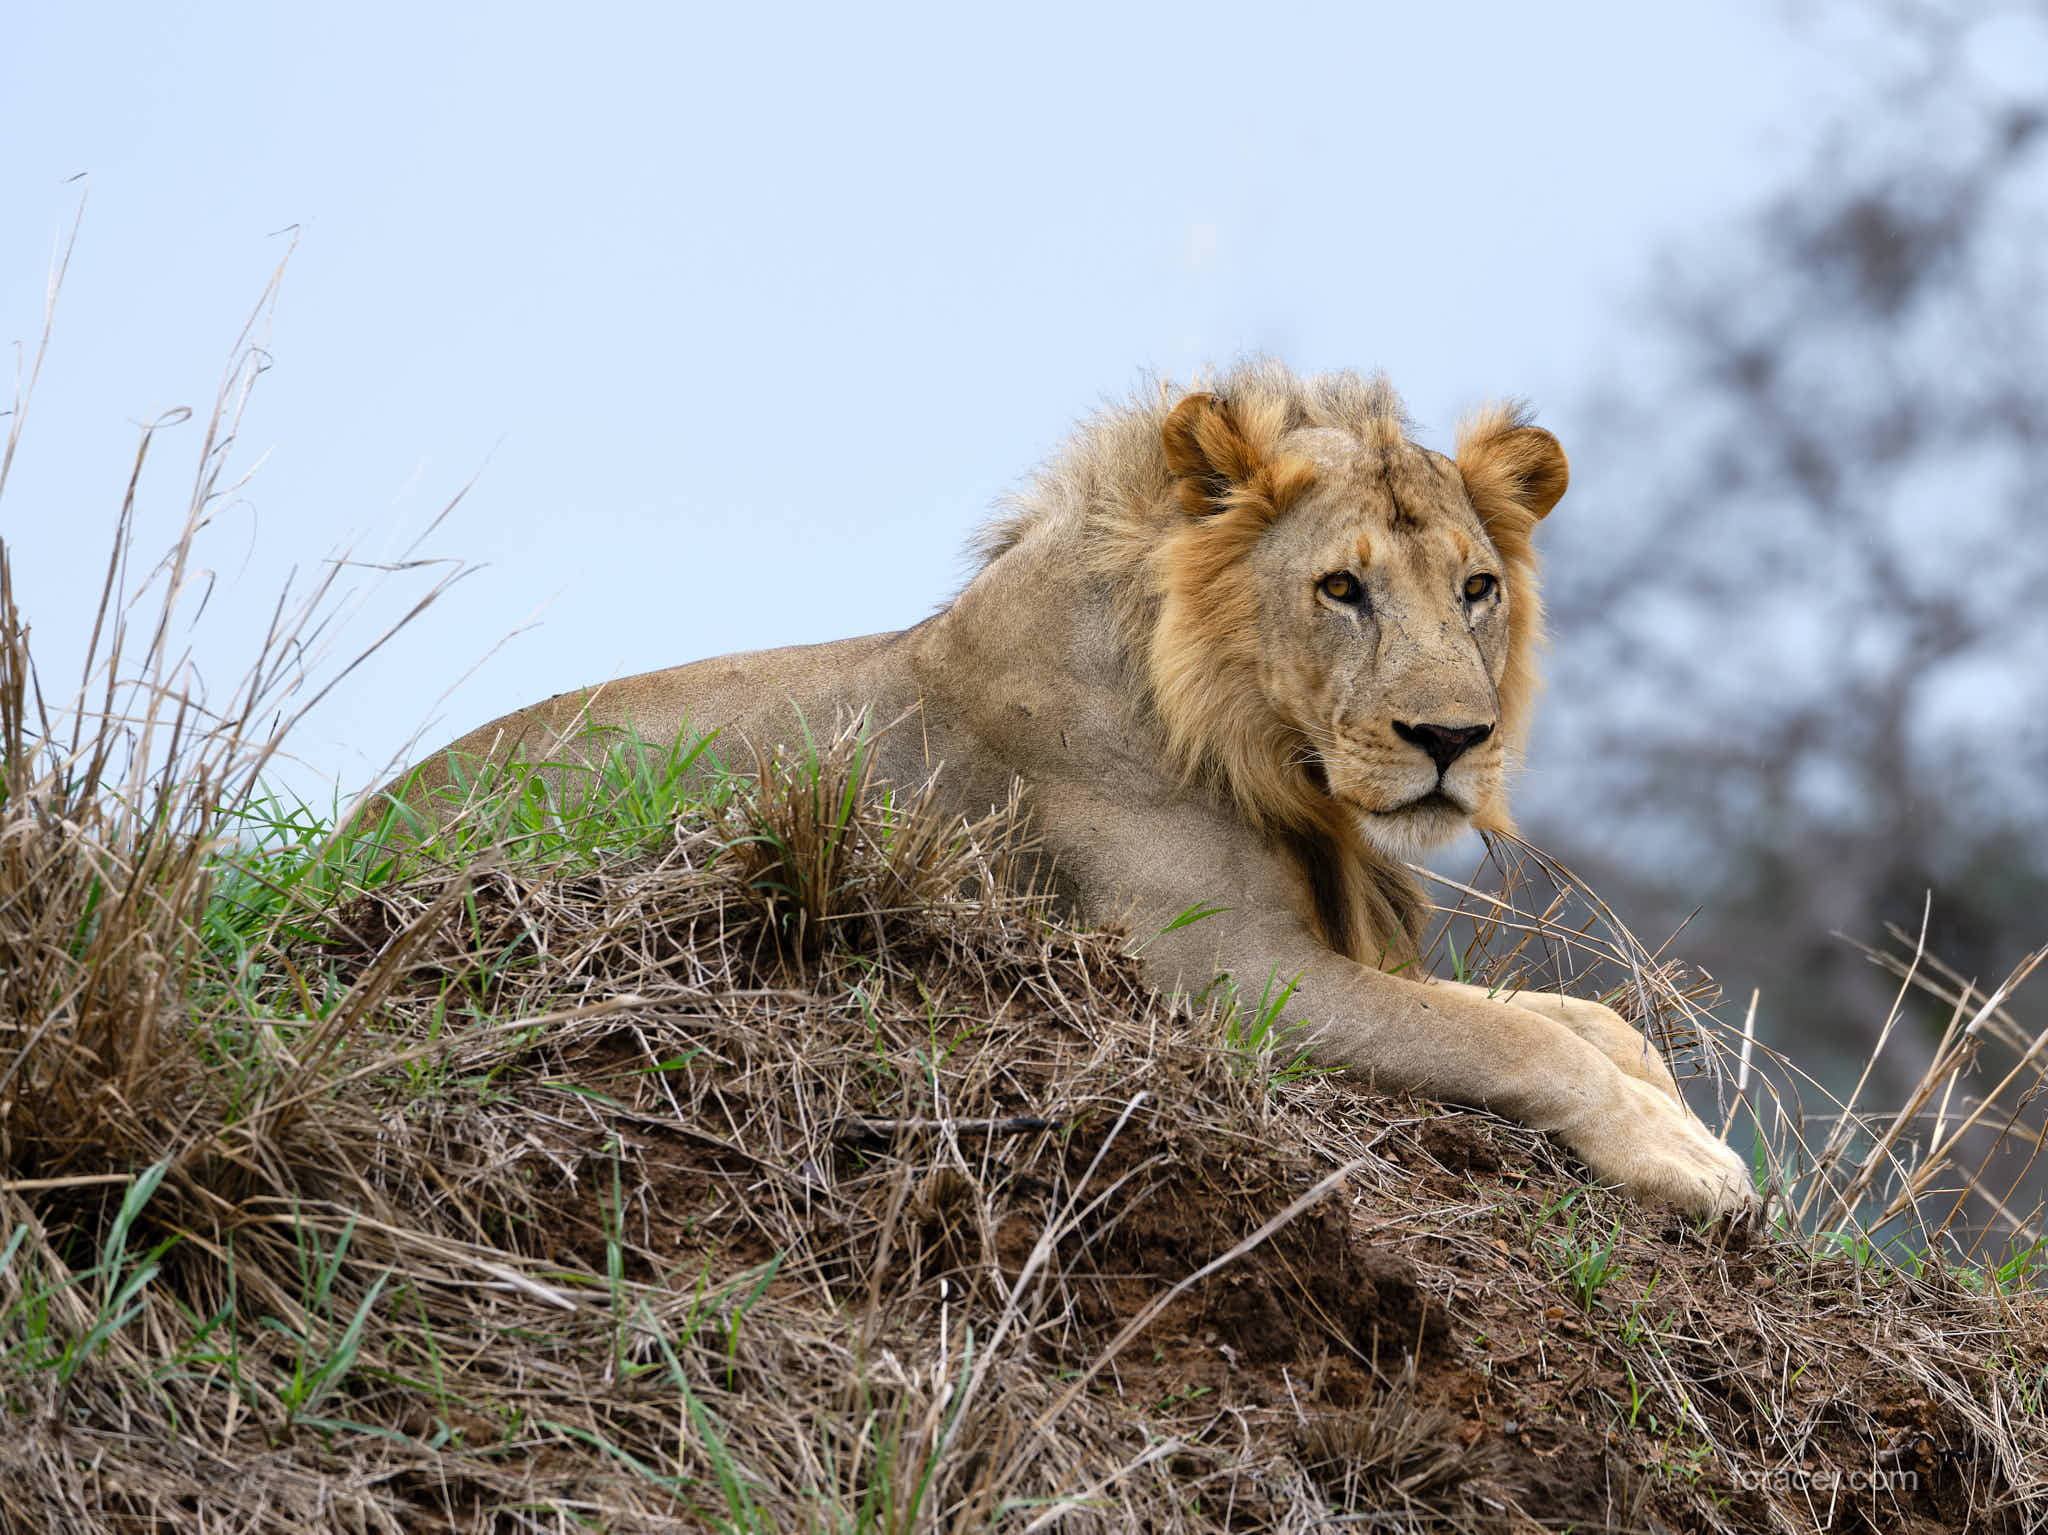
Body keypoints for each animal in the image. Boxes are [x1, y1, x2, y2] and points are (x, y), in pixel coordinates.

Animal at [376, 360, 1756, 1218]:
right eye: (1339, 587)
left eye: (1475, 587)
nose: (1451, 737)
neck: (1257, 741)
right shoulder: (1222, 973)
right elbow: (1510, 1035)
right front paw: (1686, 1163)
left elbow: (1587, 1019)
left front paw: (1684, 1122)